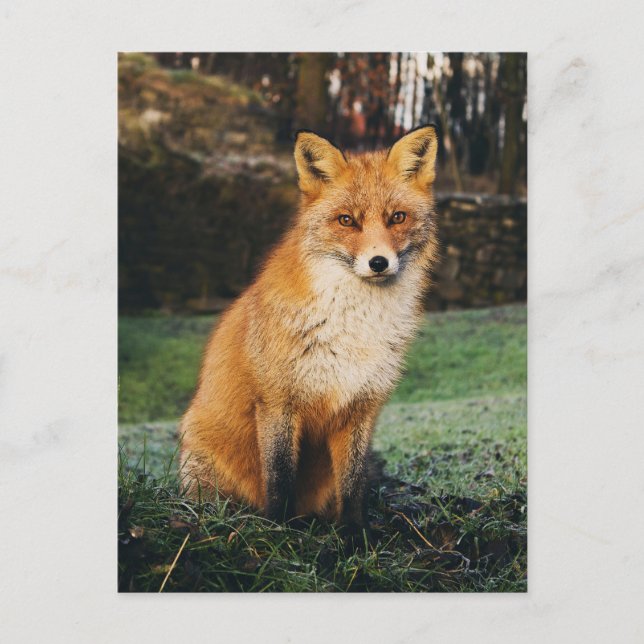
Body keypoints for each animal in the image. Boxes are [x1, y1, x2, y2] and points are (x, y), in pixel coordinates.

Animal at [179, 125, 439, 532]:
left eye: (397, 217)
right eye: (347, 220)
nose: (378, 262)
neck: (353, 327)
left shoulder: (360, 408)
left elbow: (353, 485)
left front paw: (355, 536)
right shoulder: (277, 402)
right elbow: (280, 478)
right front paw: (279, 532)